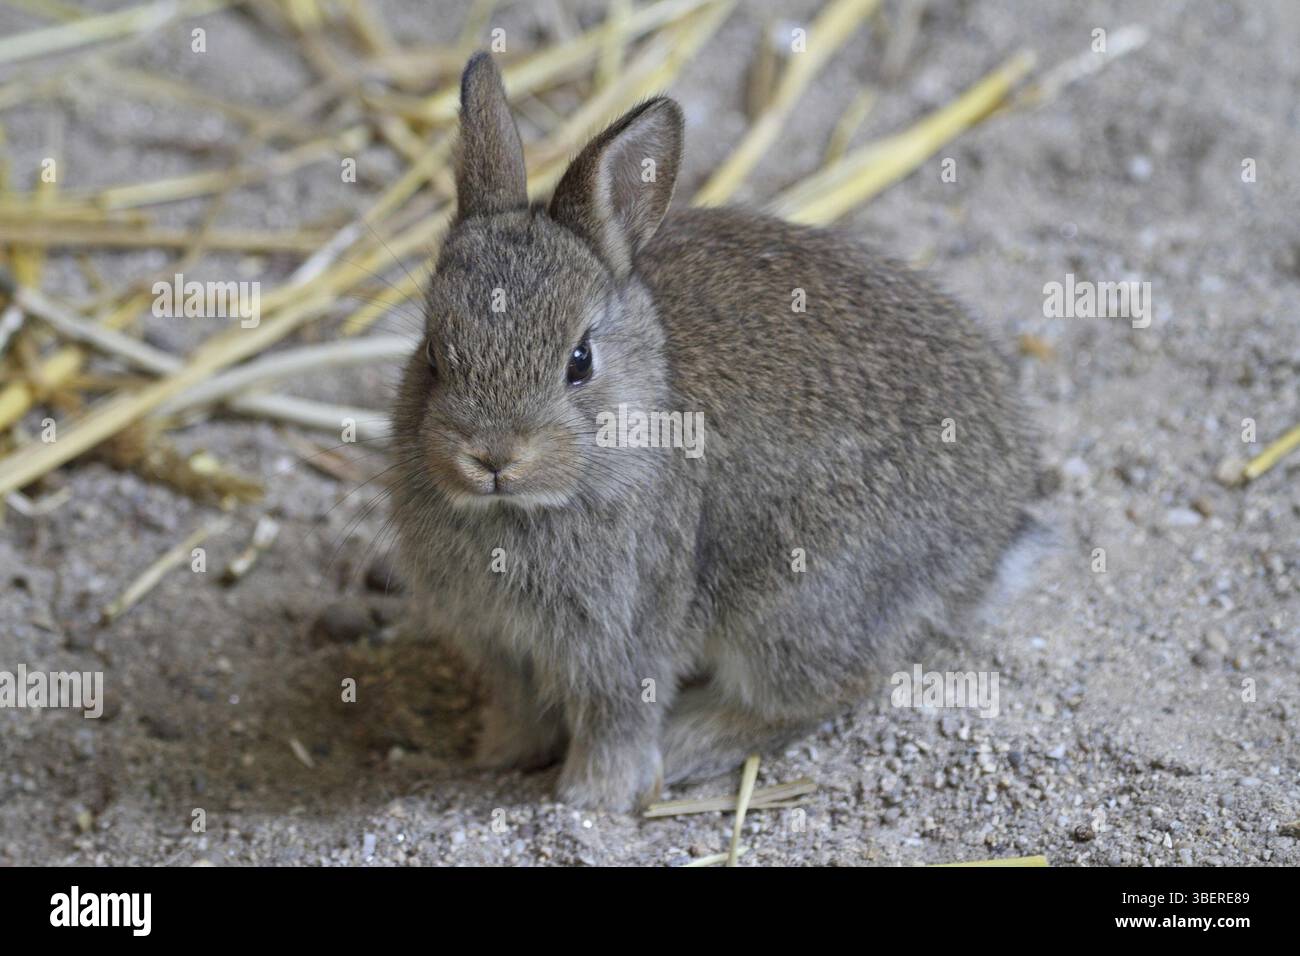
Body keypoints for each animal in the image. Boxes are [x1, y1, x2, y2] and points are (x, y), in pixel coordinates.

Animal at [390, 52, 1044, 812]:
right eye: (433, 355)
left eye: (579, 361)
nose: (493, 457)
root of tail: (993, 533)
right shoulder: (503, 650)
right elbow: (520, 713)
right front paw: (491, 761)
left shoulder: (625, 641)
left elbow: (615, 723)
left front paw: (587, 800)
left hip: (793, 607)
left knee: (821, 691)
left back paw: (690, 742)